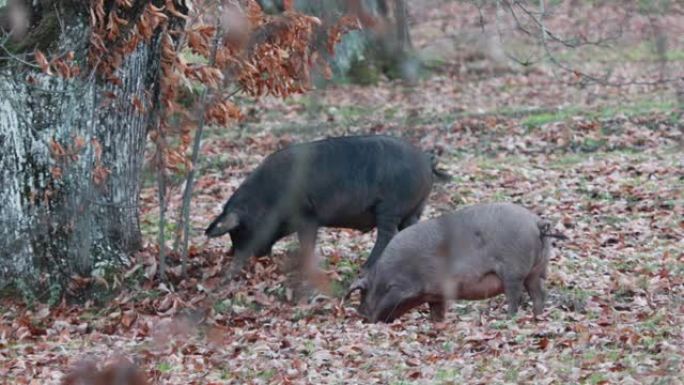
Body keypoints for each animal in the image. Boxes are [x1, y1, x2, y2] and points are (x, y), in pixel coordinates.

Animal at [348, 202, 568, 322]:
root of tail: (537, 223)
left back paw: (509, 318)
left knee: (518, 297)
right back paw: (537, 317)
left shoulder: (400, 286)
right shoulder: (435, 294)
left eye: (362, 294)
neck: (381, 277)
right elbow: (436, 312)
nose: (360, 315)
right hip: (536, 270)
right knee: (539, 294)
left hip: (513, 272)